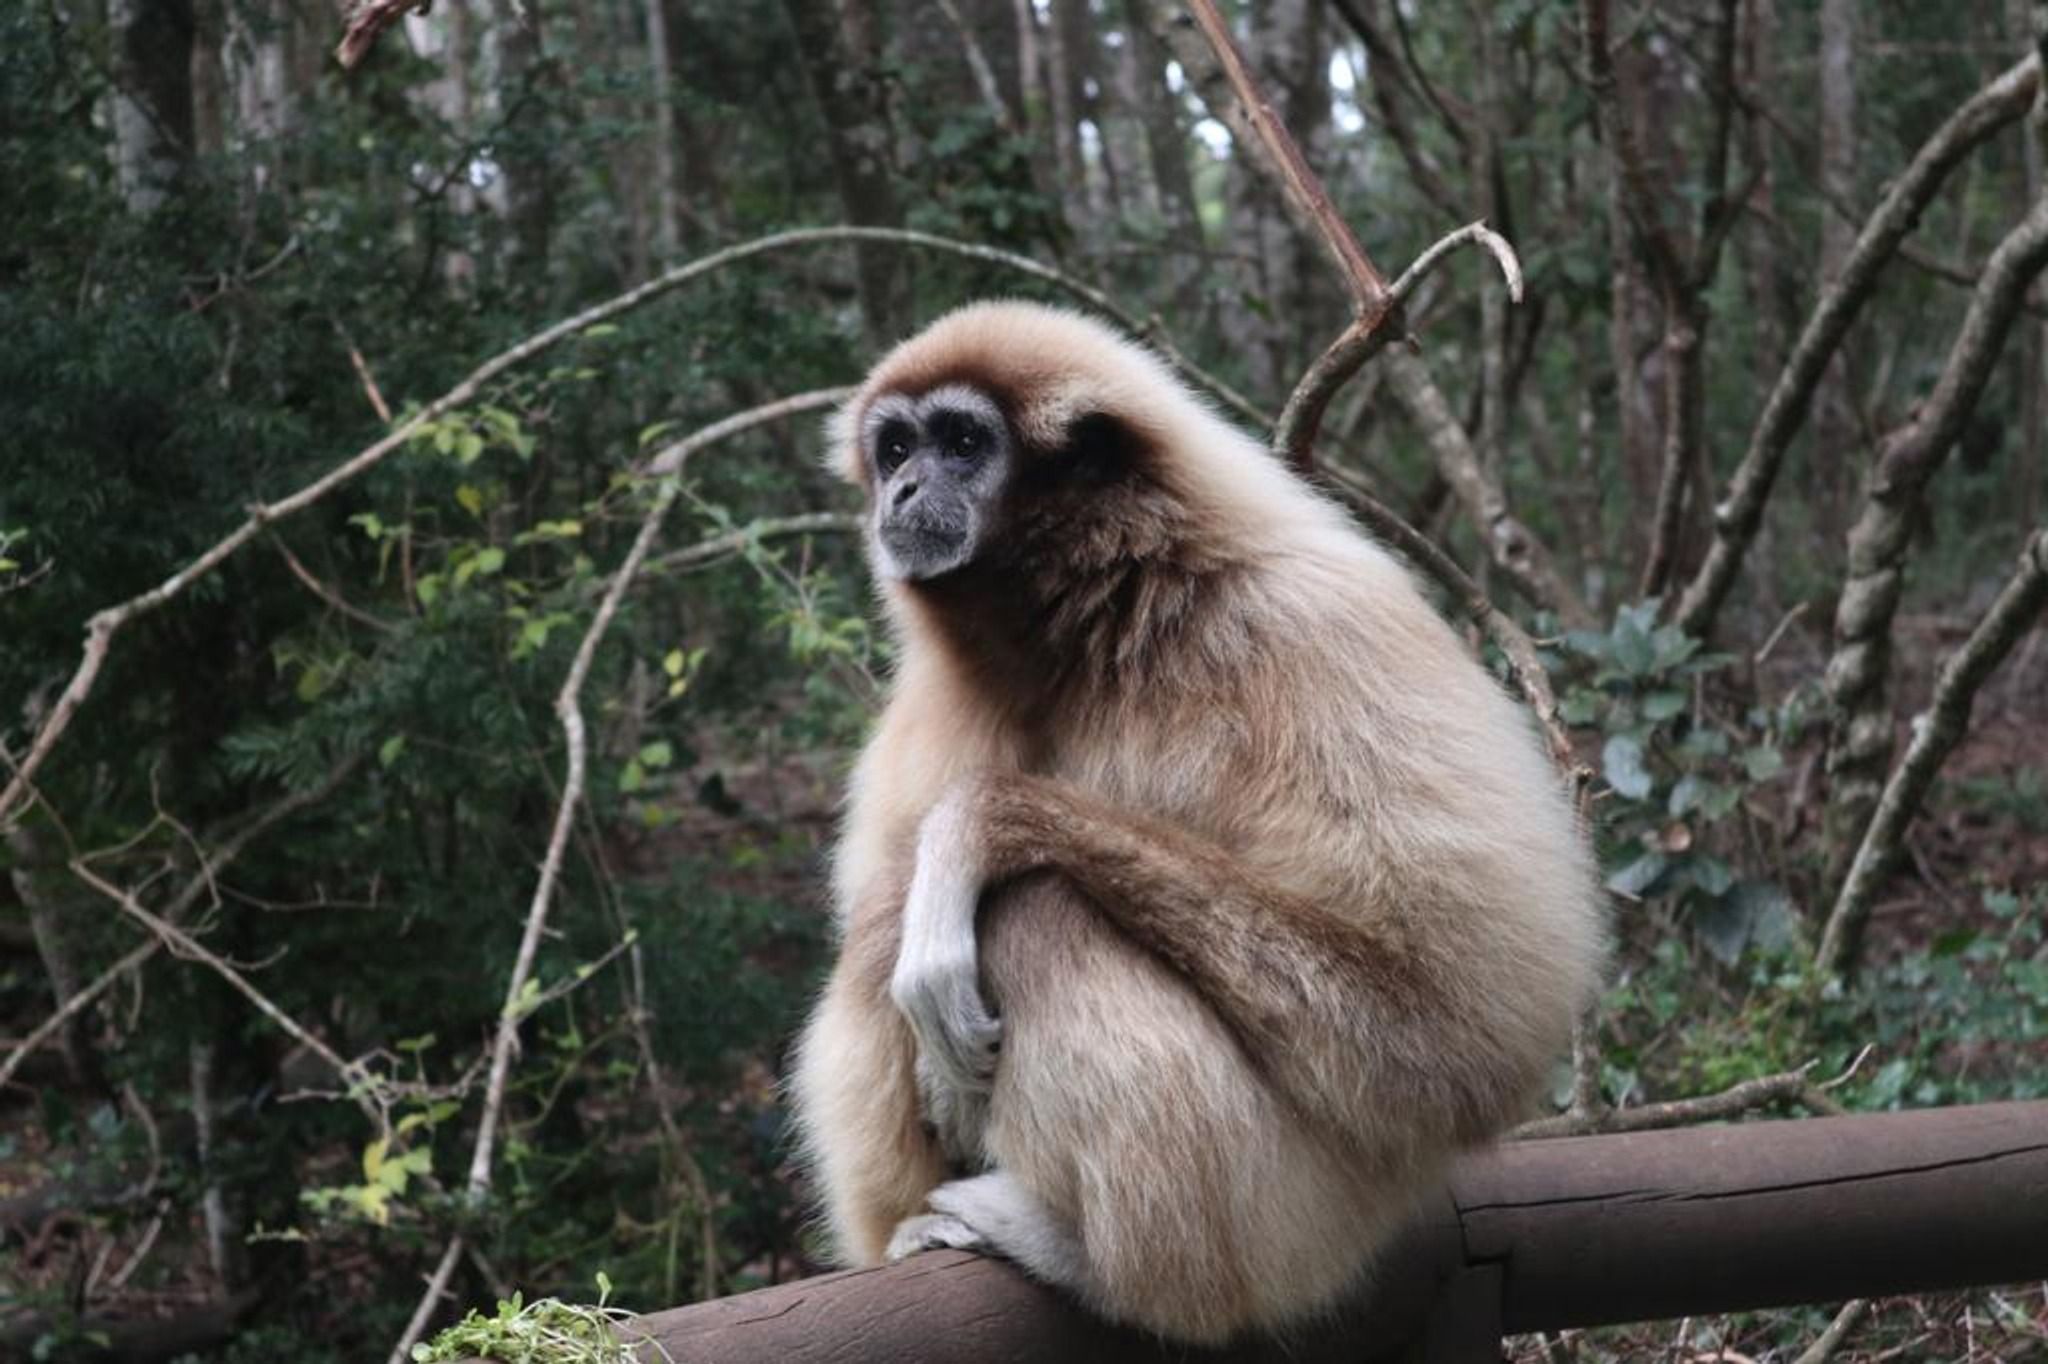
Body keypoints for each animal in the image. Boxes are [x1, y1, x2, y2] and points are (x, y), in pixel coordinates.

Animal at [787, 301, 1606, 1346]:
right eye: (894, 445)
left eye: (964, 441)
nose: (904, 486)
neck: (1104, 625)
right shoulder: (930, 704)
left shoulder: (1310, 623)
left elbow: (1460, 1016)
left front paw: (981, 823)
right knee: (888, 915)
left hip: (1298, 1223)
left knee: (1029, 911)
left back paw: (1097, 1262)